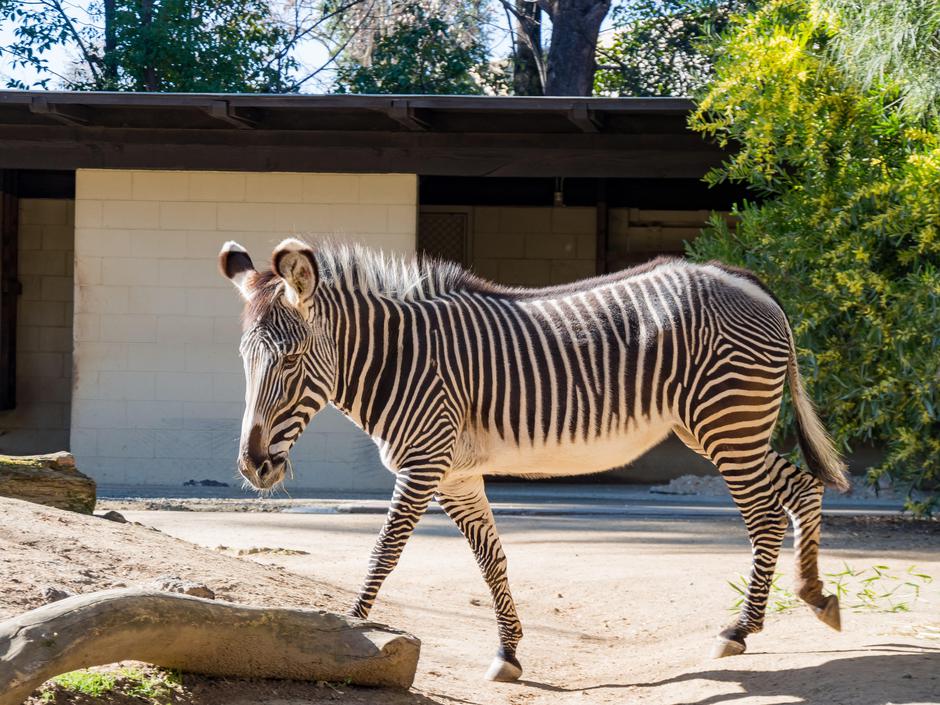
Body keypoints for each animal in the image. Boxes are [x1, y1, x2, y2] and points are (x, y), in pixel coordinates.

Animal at [220, 237, 848, 682]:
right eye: (244, 360)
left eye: (292, 360)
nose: (253, 467)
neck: (399, 361)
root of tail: (742, 279)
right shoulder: (457, 474)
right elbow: (491, 559)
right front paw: (508, 652)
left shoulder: (423, 464)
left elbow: (383, 552)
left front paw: (350, 634)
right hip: (716, 428)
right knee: (799, 489)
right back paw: (814, 596)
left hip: (727, 423)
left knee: (766, 514)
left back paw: (740, 628)